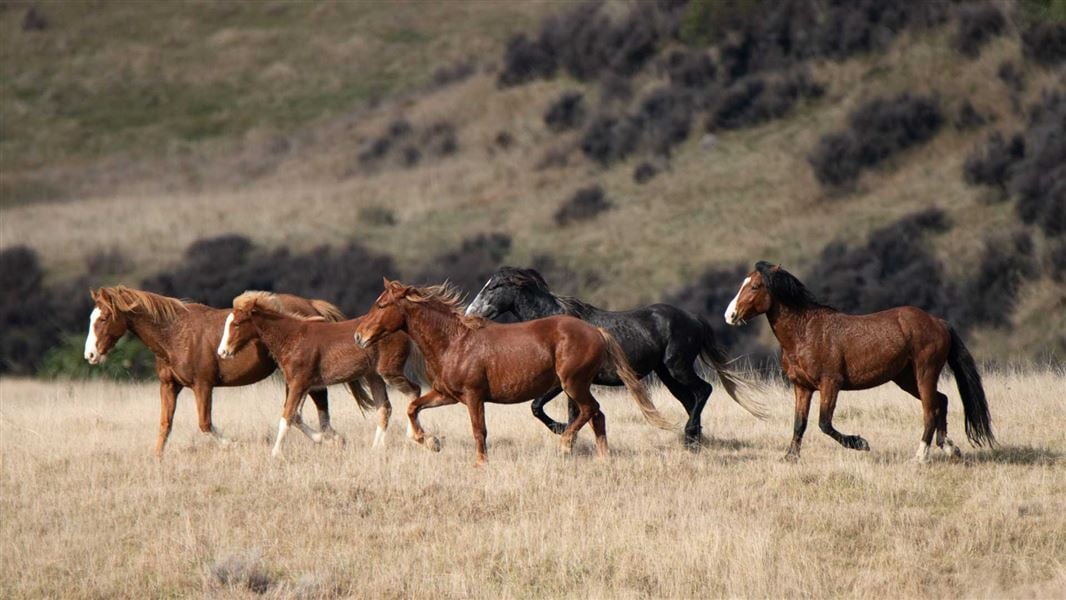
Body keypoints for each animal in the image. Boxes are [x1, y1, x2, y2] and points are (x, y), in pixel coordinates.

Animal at [79, 287, 362, 456]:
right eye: (91, 318)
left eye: (103, 318)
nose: (90, 355)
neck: (175, 334)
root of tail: (312, 305)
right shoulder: (169, 386)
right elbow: (164, 425)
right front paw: (157, 458)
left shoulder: (202, 385)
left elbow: (205, 424)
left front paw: (233, 444)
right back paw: (329, 438)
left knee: (314, 405)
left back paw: (330, 438)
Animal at [216, 294, 420, 458]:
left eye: (237, 324)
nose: (222, 352)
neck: (292, 338)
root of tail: (404, 330)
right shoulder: (302, 385)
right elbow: (296, 417)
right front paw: (331, 440)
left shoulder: (298, 384)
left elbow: (286, 417)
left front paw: (275, 453)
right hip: (374, 377)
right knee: (384, 408)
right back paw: (377, 447)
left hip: (389, 372)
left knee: (414, 392)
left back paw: (414, 437)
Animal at [356, 279, 673, 466]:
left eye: (382, 305)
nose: (359, 337)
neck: (454, 341)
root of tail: (595, 331)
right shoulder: (447, 394)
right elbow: (412, 408)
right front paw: (430, 443)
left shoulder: (473, 396)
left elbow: (479, 430)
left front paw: (480, 464)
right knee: (598, 416)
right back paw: (602, 459)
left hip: (574, 383)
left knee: (589, 410)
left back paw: (565, 445)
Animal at [466, 265, 767, 443]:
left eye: (494, 286)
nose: (470, 313)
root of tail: (694, 318)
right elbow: (558, 410)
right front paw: (569, 438)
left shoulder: (562, 382)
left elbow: (538, 407)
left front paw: (563, 433)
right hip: (667, 374)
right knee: (690, 400)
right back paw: (692, 439)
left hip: (678, 367)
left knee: (703, 390)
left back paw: (689, 435)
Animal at [720, 261, 993, 462]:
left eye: (755, 286)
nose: (729, 315)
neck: (805, 332)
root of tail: (939, 322)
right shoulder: (802, 387)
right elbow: (800, 424)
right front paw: (790, 457)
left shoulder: (830, 384)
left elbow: (824, 423)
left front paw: (861, 443)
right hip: (905, 378)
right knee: (941, 401)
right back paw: (949, 448)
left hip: (925, 372)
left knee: (930, 409)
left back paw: (920, 456)